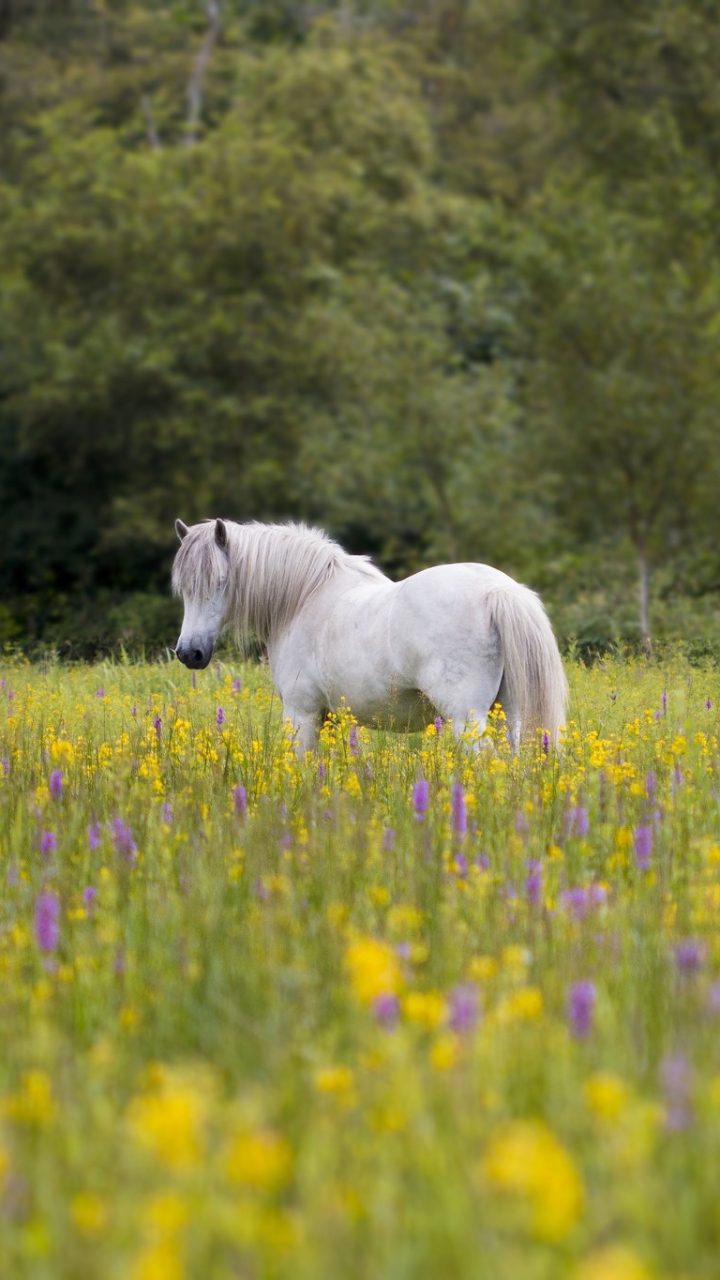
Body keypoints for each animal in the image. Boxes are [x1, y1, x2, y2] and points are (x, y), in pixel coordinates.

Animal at [170, 522, 563, 747]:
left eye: (220, 581)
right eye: (184, 588)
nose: (189, 653)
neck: (304, 596)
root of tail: (497, 590)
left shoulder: (301, 713)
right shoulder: (327, 717)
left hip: (467, 719)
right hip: (507, 715)